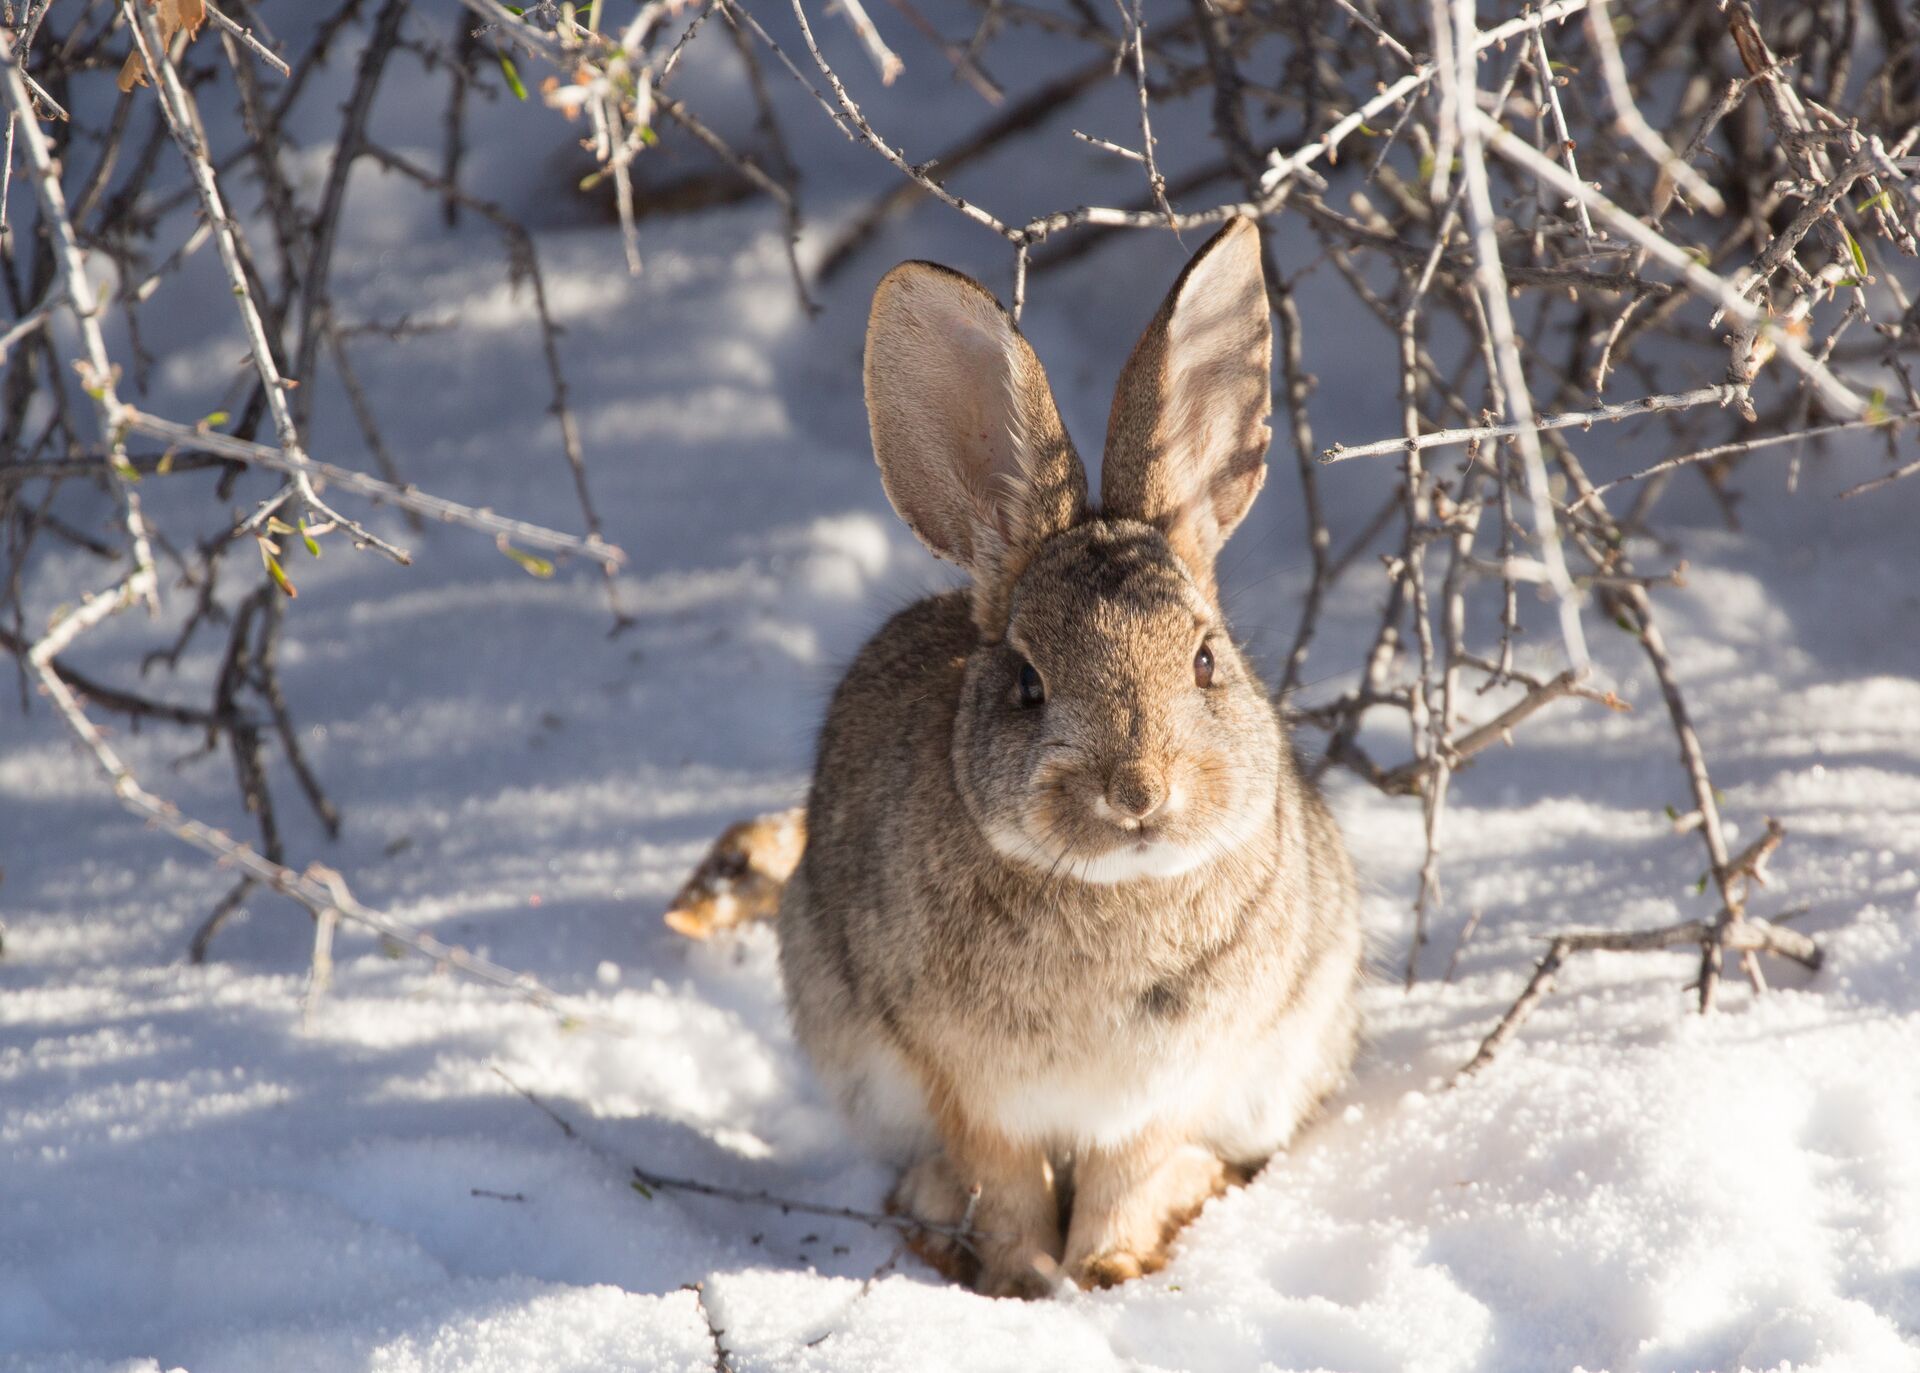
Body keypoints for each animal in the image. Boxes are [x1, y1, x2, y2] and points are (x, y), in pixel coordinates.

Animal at [768, 217, 1367, 1298]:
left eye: (1206, 659)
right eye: (1028, 683)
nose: (1139, 792)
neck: (1113, 890)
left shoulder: (1164, 1087)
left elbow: (1129, 1170)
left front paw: (1109, 1271)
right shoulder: (969, 1088)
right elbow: (1001, 1177)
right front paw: (1020, 1280)